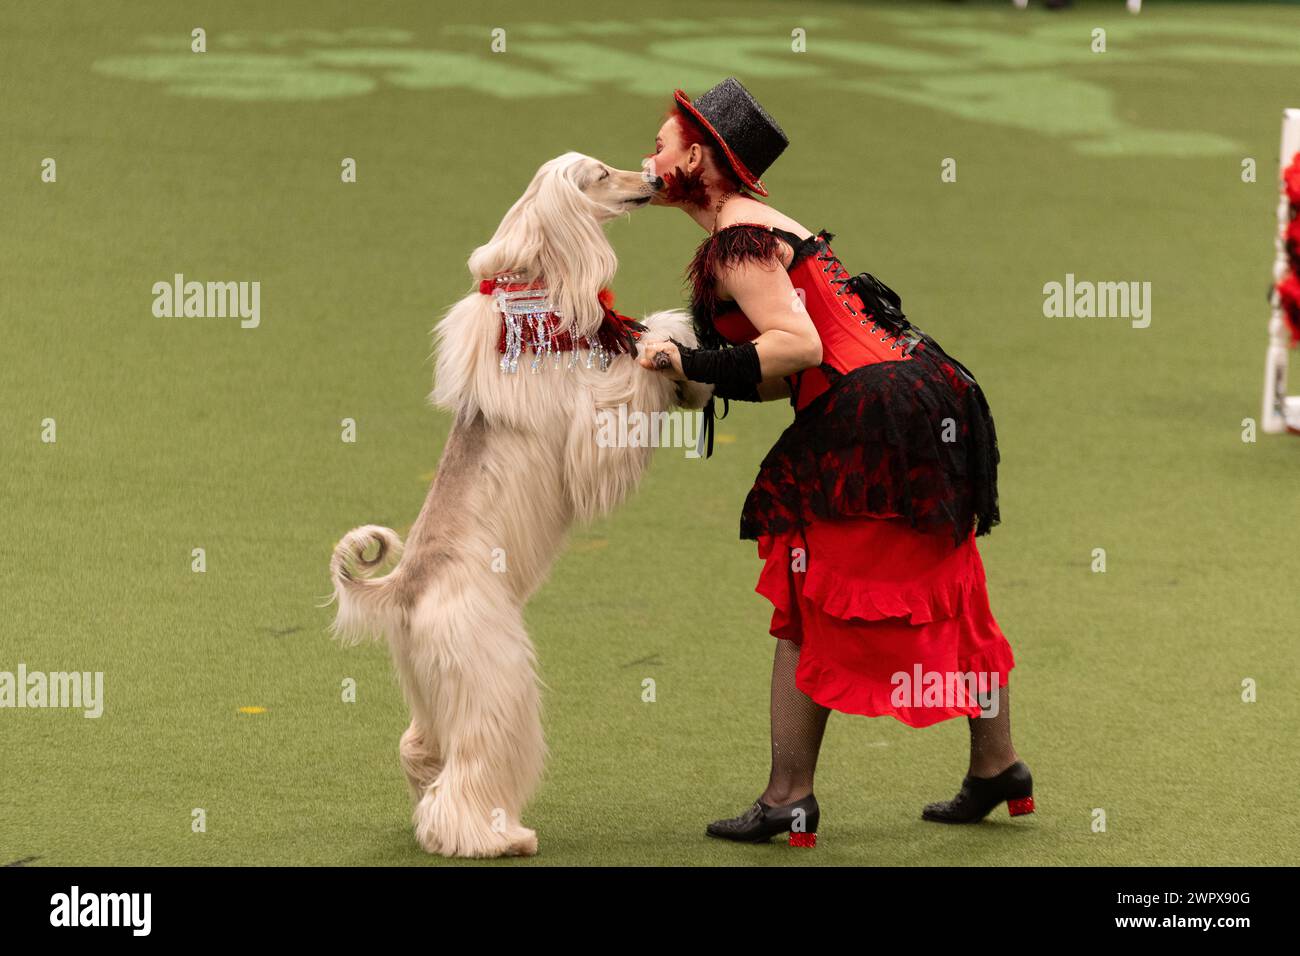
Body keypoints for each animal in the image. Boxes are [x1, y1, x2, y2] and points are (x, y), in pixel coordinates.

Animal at [325, 151, 712, 858]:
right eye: (600, 174)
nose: (653, 179)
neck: (532, 293)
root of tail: (404, 588)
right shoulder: (588, 430)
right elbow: (624, 393)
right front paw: (671, 340)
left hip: (427, 685)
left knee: (418, 749)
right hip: (492, 673)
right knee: (470, 770)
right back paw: (494, 837)